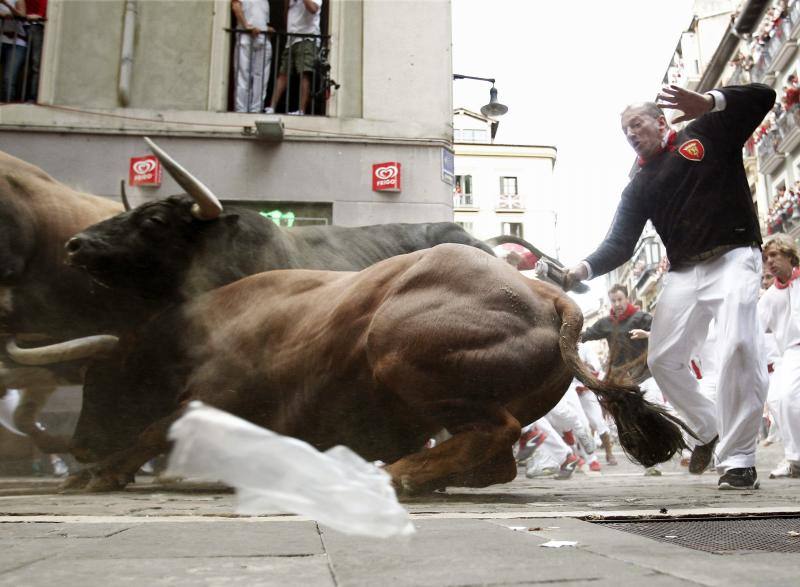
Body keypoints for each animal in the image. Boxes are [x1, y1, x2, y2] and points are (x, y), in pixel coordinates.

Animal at [67, 245, 688, 496]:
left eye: (103, 379)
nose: (77, 445)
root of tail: (547, 297)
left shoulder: (213, 398)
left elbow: (155, 428)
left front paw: (102, 473)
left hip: (394, 354)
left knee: (498, 435)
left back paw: (395, 476)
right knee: (495, 458)